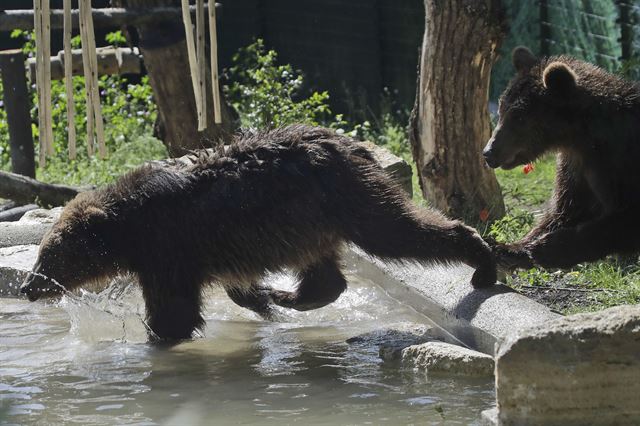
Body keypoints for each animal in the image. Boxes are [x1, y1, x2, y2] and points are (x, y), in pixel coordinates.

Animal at [21, 123, 496, 340]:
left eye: (52, 254)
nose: (29, 287)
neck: (129, 230)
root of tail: (351, 142)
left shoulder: (169, 248)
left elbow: (175, 311)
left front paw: (159, 336)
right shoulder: (201, 251)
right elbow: (232, 286)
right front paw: (261, 299)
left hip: (344, 198)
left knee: (396, 230)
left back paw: (481, 260)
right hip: (309, 221)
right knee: (325, 272)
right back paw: (290, 296)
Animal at [484, 48, 640, 270]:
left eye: (519, 117)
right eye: (501, 108)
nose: (488, 152)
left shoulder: (620, 158)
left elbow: (623, 218)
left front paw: (547, 248)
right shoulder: (576, 164)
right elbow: (566, 208)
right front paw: (507, 246)